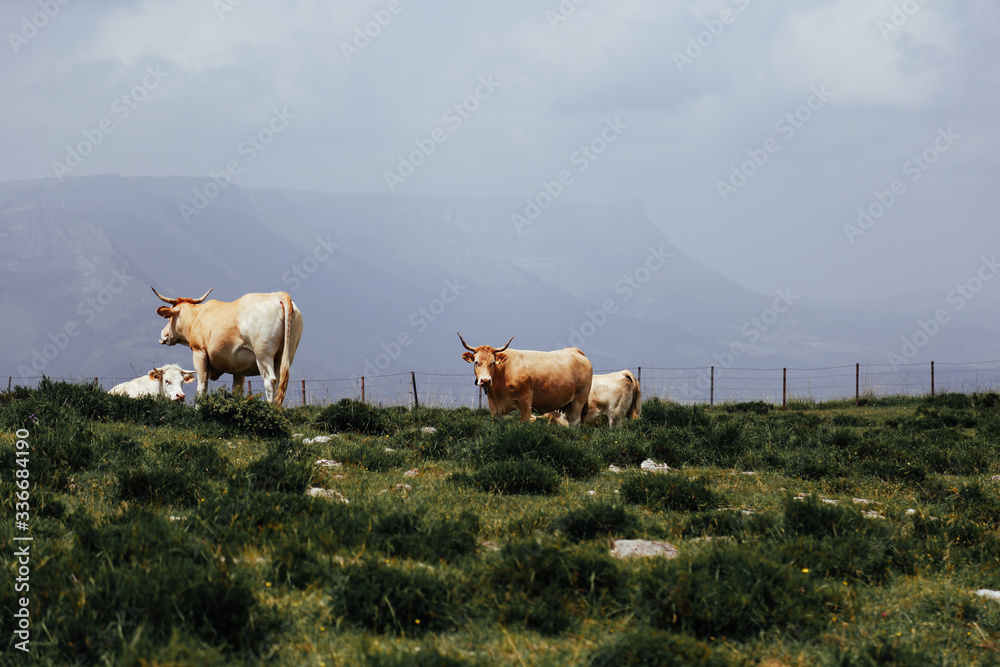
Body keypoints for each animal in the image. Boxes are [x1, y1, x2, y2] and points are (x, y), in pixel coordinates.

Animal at [150, 288, 302, 408]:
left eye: (169, 318)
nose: (163, 334)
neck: (197, 317)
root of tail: (280, 295)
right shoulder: (239, 367)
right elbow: (237, 390)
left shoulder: (199, 352)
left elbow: (202, 384)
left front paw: (198, 408)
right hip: (285, 355)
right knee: (281, 381)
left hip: (263, 355)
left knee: (270, 380)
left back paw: (270, 409)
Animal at [460, 332, 592, 428]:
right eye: (476, 362)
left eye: (493, 363)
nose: (486, 380)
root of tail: (575, 351)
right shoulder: (494, 407)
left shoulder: (525, 400)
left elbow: (525, 422)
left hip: (579, 398)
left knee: (574, 421)